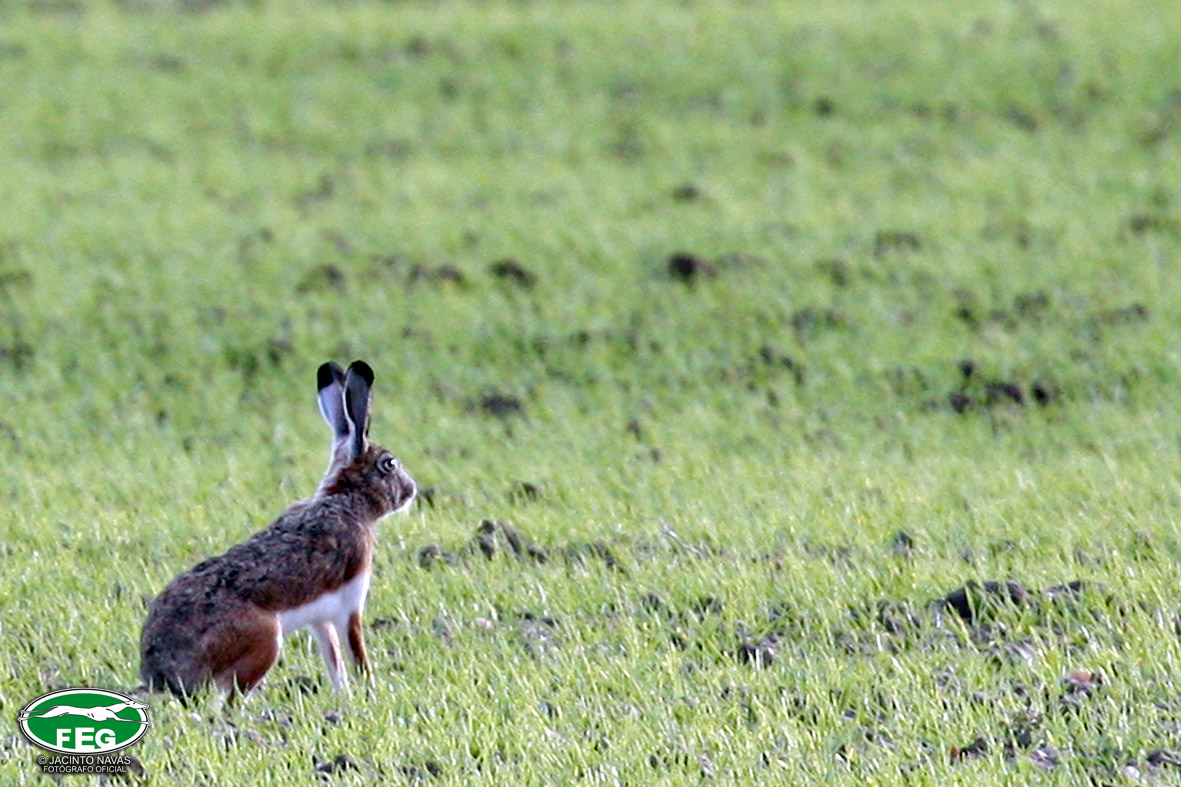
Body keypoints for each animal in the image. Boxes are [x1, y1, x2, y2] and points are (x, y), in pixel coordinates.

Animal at [140, 360, 416, 700]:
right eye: (389, 464)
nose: (411, 490)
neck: (345, 499)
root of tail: (161, 674)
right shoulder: (349, 606)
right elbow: (356, 655)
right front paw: (370, 694)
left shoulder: (321, 621)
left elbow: (334, 661)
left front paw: (344, 698)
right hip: (266, 641)